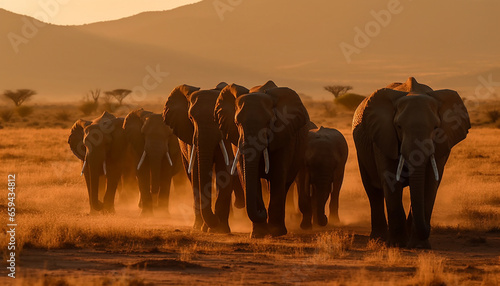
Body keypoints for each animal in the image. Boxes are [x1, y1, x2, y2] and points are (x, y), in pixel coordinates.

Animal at [164, 82, 244, 232]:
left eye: (217, 118)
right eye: (190, 118)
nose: (215, 221)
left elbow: (224, 170)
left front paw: (220, 229)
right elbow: (196, 172)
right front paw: (204, 227)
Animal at [216, 81, 310, 238]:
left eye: (269, 122)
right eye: (237, 123)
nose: (262, 211)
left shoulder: (284, 134)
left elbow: (278, 174)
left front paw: (276, 232)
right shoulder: (236, 140)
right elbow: (246, 176)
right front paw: (258, 234)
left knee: (284, 184)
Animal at [352, 76, 468, 248]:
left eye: (436, 127)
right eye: (399, 126)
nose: (429, 228)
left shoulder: (443, 142)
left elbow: (430, 183)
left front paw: (420, 246)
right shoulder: (383, 136)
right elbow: (390, 180)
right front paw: (397, 244)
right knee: (373, 191)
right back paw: (378, 239)